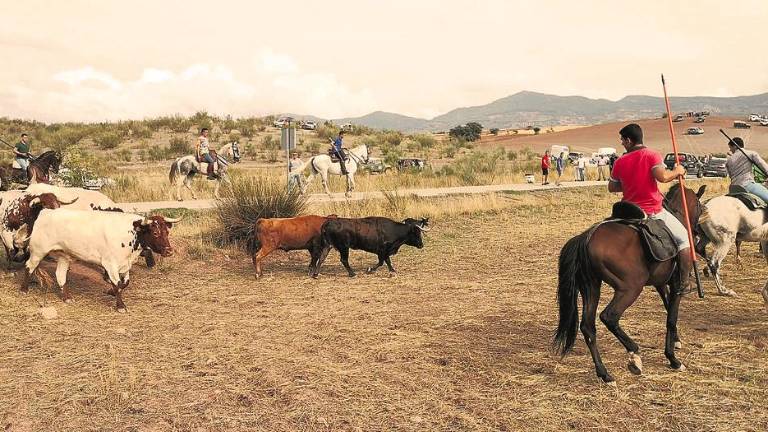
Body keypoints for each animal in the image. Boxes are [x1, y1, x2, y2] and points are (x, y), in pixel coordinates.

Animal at [21, 208, 180, 310]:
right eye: (155, 232)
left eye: (167, 232)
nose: (169, 251)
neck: (130, 232)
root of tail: (46, 212)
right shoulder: (110, 264)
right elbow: (117, 283)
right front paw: (120, 305)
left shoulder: (125, 264)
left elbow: (125, 283)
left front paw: (111, 292)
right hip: (38, 251)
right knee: (29, 266)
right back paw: (24, 289)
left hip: (64, 255)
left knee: (60, 275)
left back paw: (67, 297)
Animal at [552, 184, 708, 384]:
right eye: (700, 206)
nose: (697, 234)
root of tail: (586, 238)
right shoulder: (676, 286)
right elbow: (671, 318)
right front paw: (673, 359)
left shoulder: (661, 285)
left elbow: (668, 310)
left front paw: (676, 341)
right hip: (630, 288)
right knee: (609, 316)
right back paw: (634, 354)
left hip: (591, 286)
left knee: (587, 326)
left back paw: (604, 374)